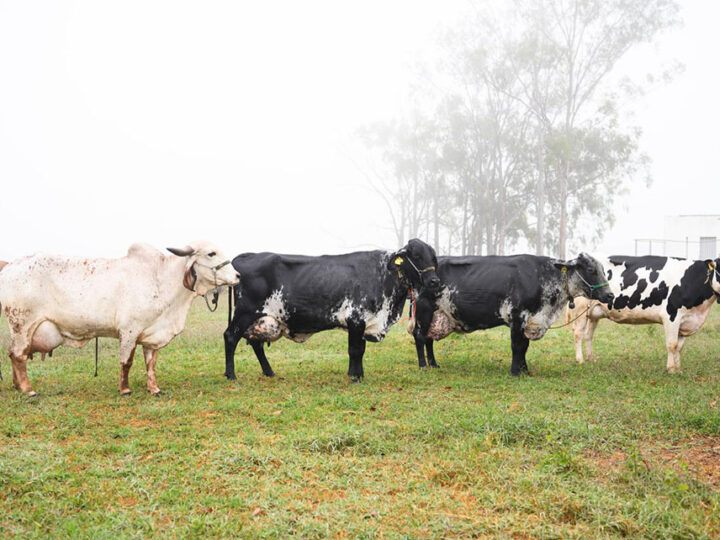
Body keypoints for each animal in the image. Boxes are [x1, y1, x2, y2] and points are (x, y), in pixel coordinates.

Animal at [0, 242, 242, 396]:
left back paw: (17, 385)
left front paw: (154, 388)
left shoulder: (151, 335)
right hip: (22, 324)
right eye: (211, 253)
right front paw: (125, 389)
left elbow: (150, 363)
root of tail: (9, 266)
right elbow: (126, 362)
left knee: (13, 354)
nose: (238, 276)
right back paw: (28, 389)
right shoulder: (129, 331)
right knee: (18, 355)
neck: (161, 279)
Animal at [222, 238, 442, 382]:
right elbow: (354, 350)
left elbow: (360, 350)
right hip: (245, 313)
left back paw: (269, 372)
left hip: (260, 319)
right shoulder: (356, 318)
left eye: (433, 258)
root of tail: (244, 257)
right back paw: (231, 375)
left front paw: (358, 374)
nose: (434, 281)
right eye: (416, 256)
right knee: (231, 337)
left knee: (255, 343)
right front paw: (355, 377)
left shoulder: (364, 322)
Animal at [410, 253, 612, 376]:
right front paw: (515, 371)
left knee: (428, 339)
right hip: (424, 311)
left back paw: (434, 364)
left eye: (604, 271)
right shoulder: (517, 316)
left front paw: (525, 370)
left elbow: (524, 347)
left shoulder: (528, 320)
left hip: (436, 314)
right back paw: (423, 365)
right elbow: (517, 346)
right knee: (420, 337)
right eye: (591, 270)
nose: (610, 295)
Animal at [568, 255, 720, 374]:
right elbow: (672, 344)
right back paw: (580, 359)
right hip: (581, 307)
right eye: (719, 270)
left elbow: (679, 347)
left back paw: (591, 357)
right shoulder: (671, 315)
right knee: (578, 333)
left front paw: (678, 369)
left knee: (588, 335)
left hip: (593, 312)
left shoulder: (685, 320)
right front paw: (671, 369)